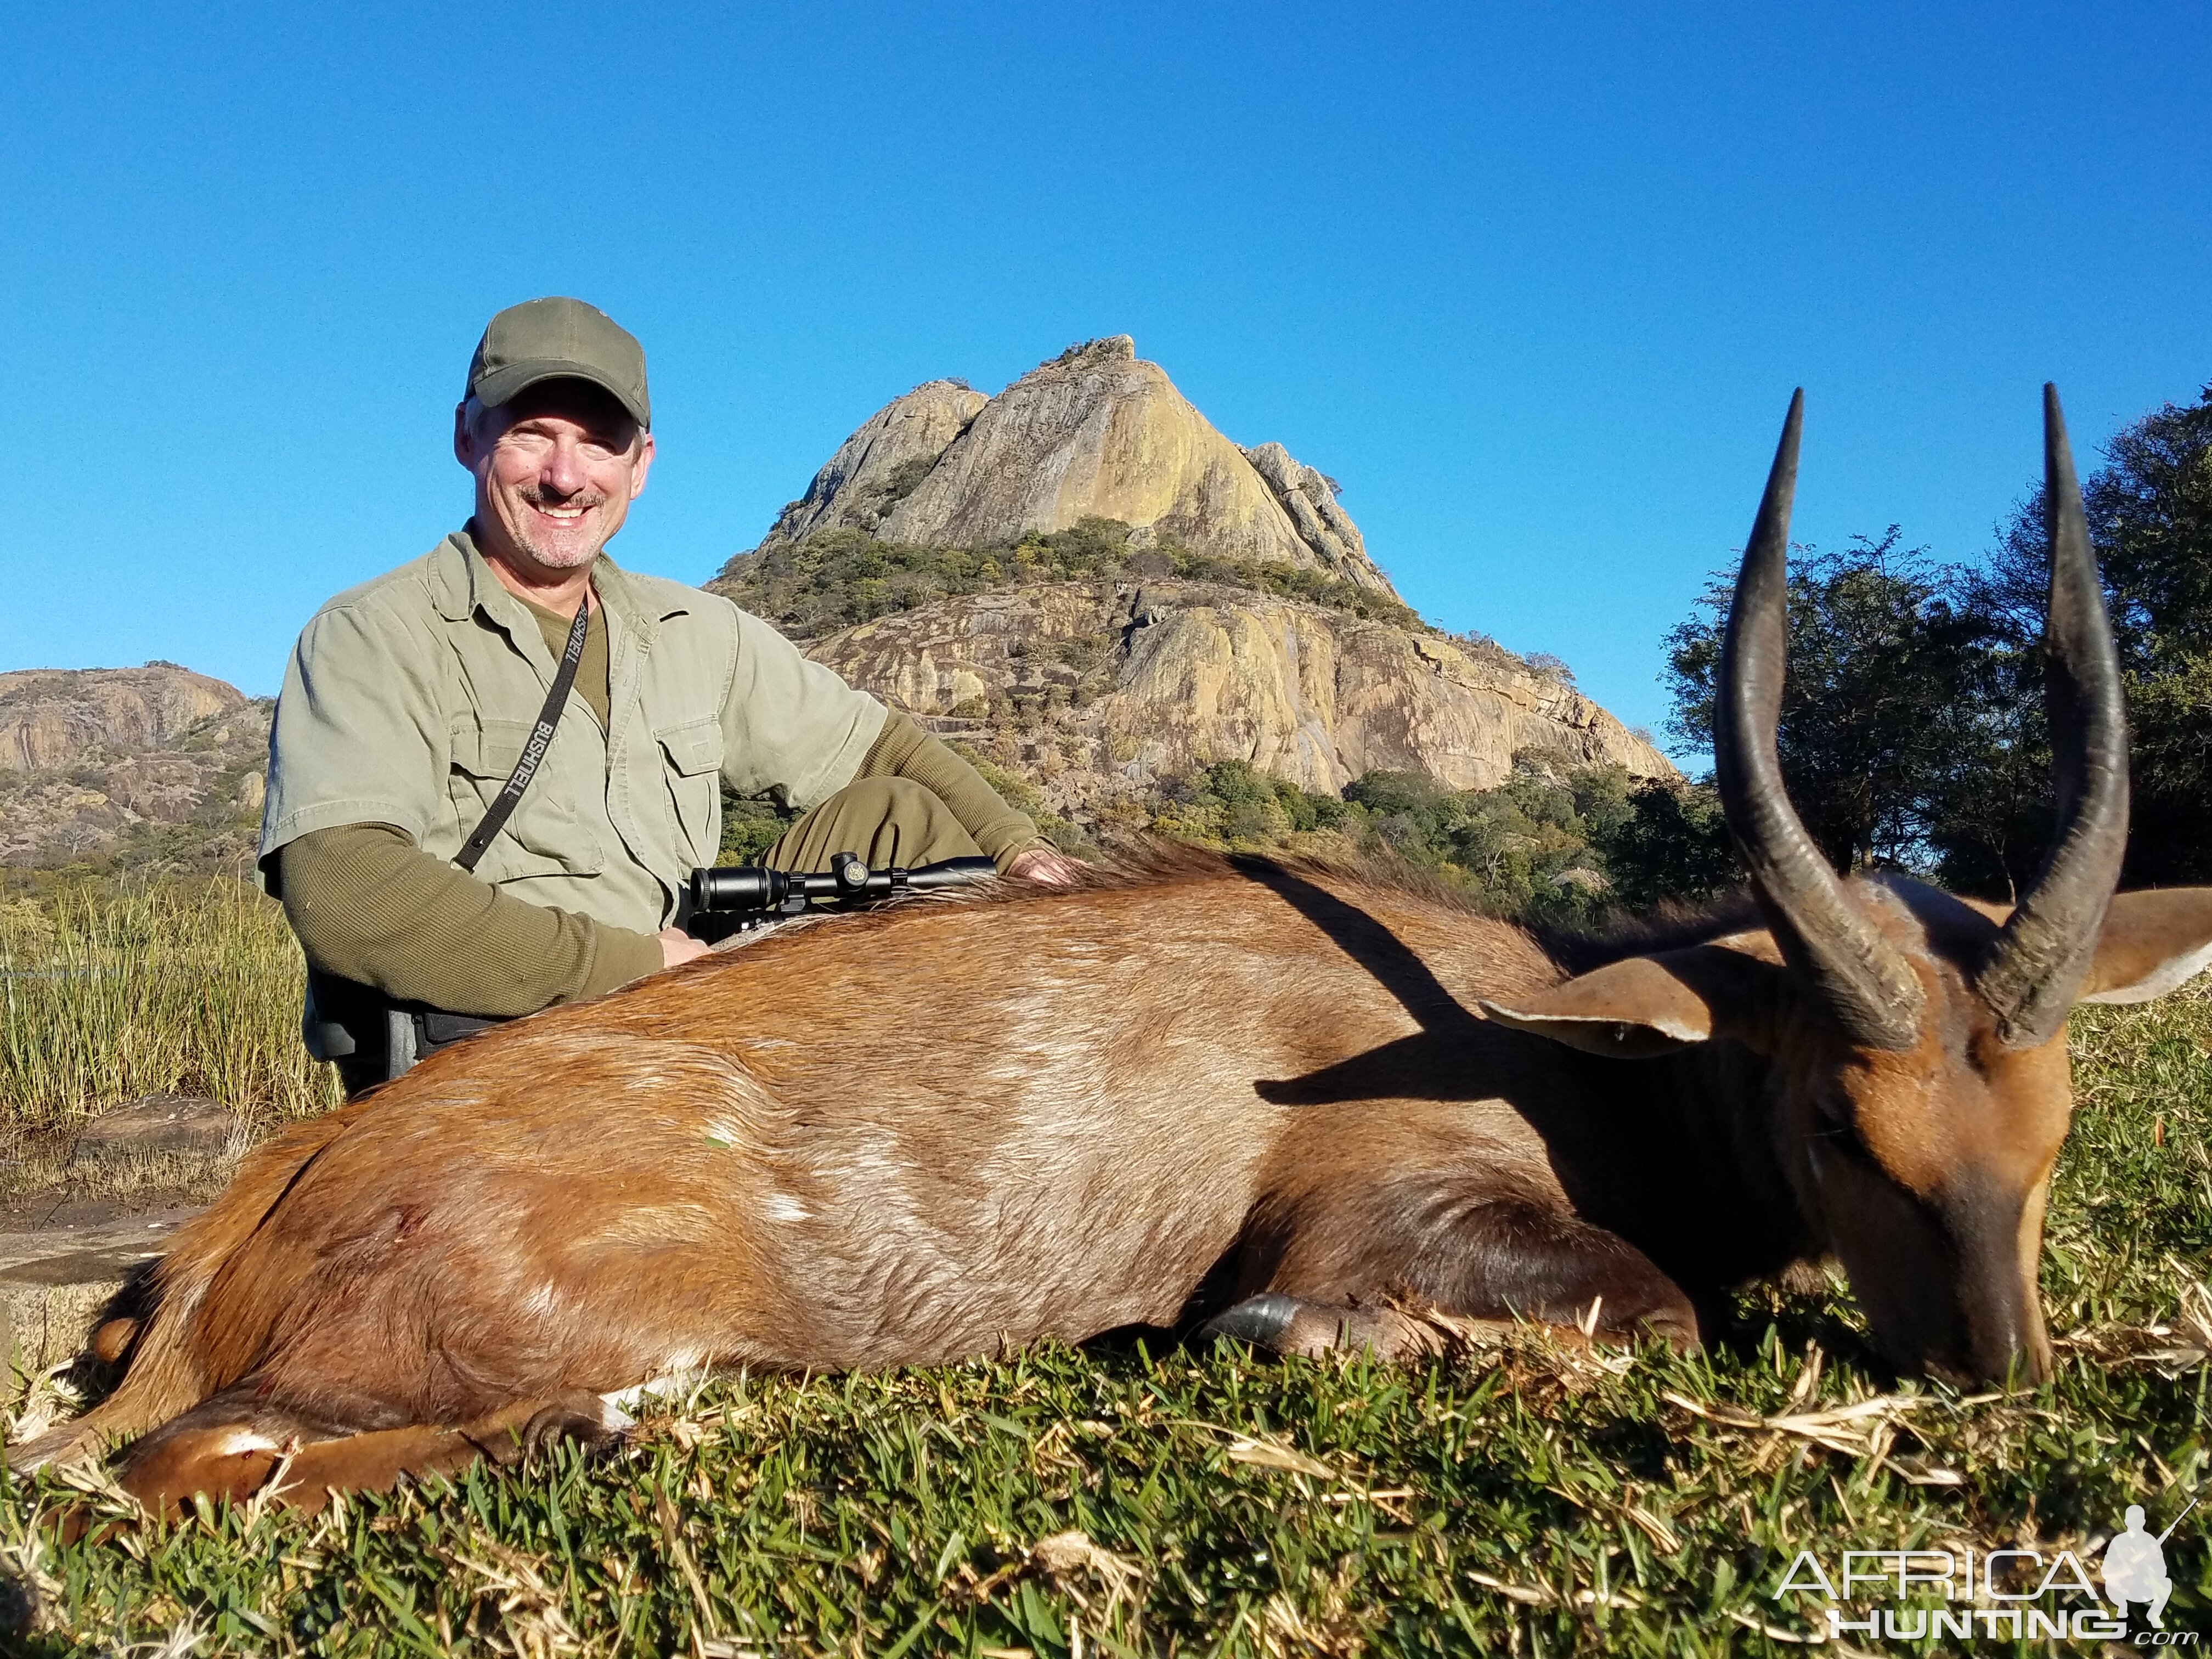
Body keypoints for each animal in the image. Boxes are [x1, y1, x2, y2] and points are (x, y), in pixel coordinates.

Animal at [17, 389, 2212, 1522]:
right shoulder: (1373, 1212)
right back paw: (604, 1426)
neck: (1550, 1030)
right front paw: (1292, 1344)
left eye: (2051, 1129)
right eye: (1843, 1122)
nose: (1997, 1379)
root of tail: (236, 1221)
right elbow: (1631, 1310)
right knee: (175, 1465)